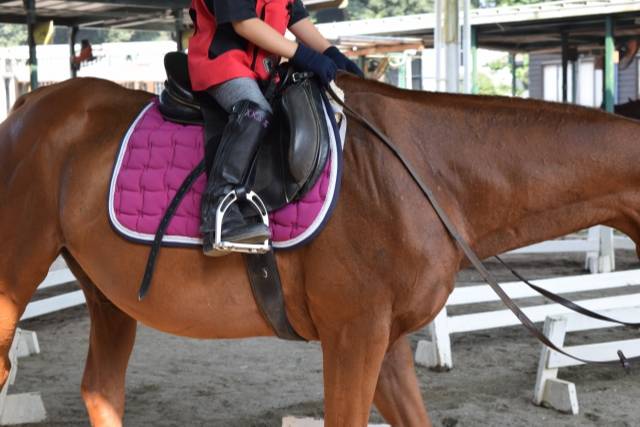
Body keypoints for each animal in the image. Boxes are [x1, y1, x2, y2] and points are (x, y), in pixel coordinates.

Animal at [1, 75, 640, 426]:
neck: (425, 172)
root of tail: (28, 107)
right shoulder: (354, 337)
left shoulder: (385, 342)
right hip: (15, 278)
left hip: (108, 295)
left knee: (101, 391)